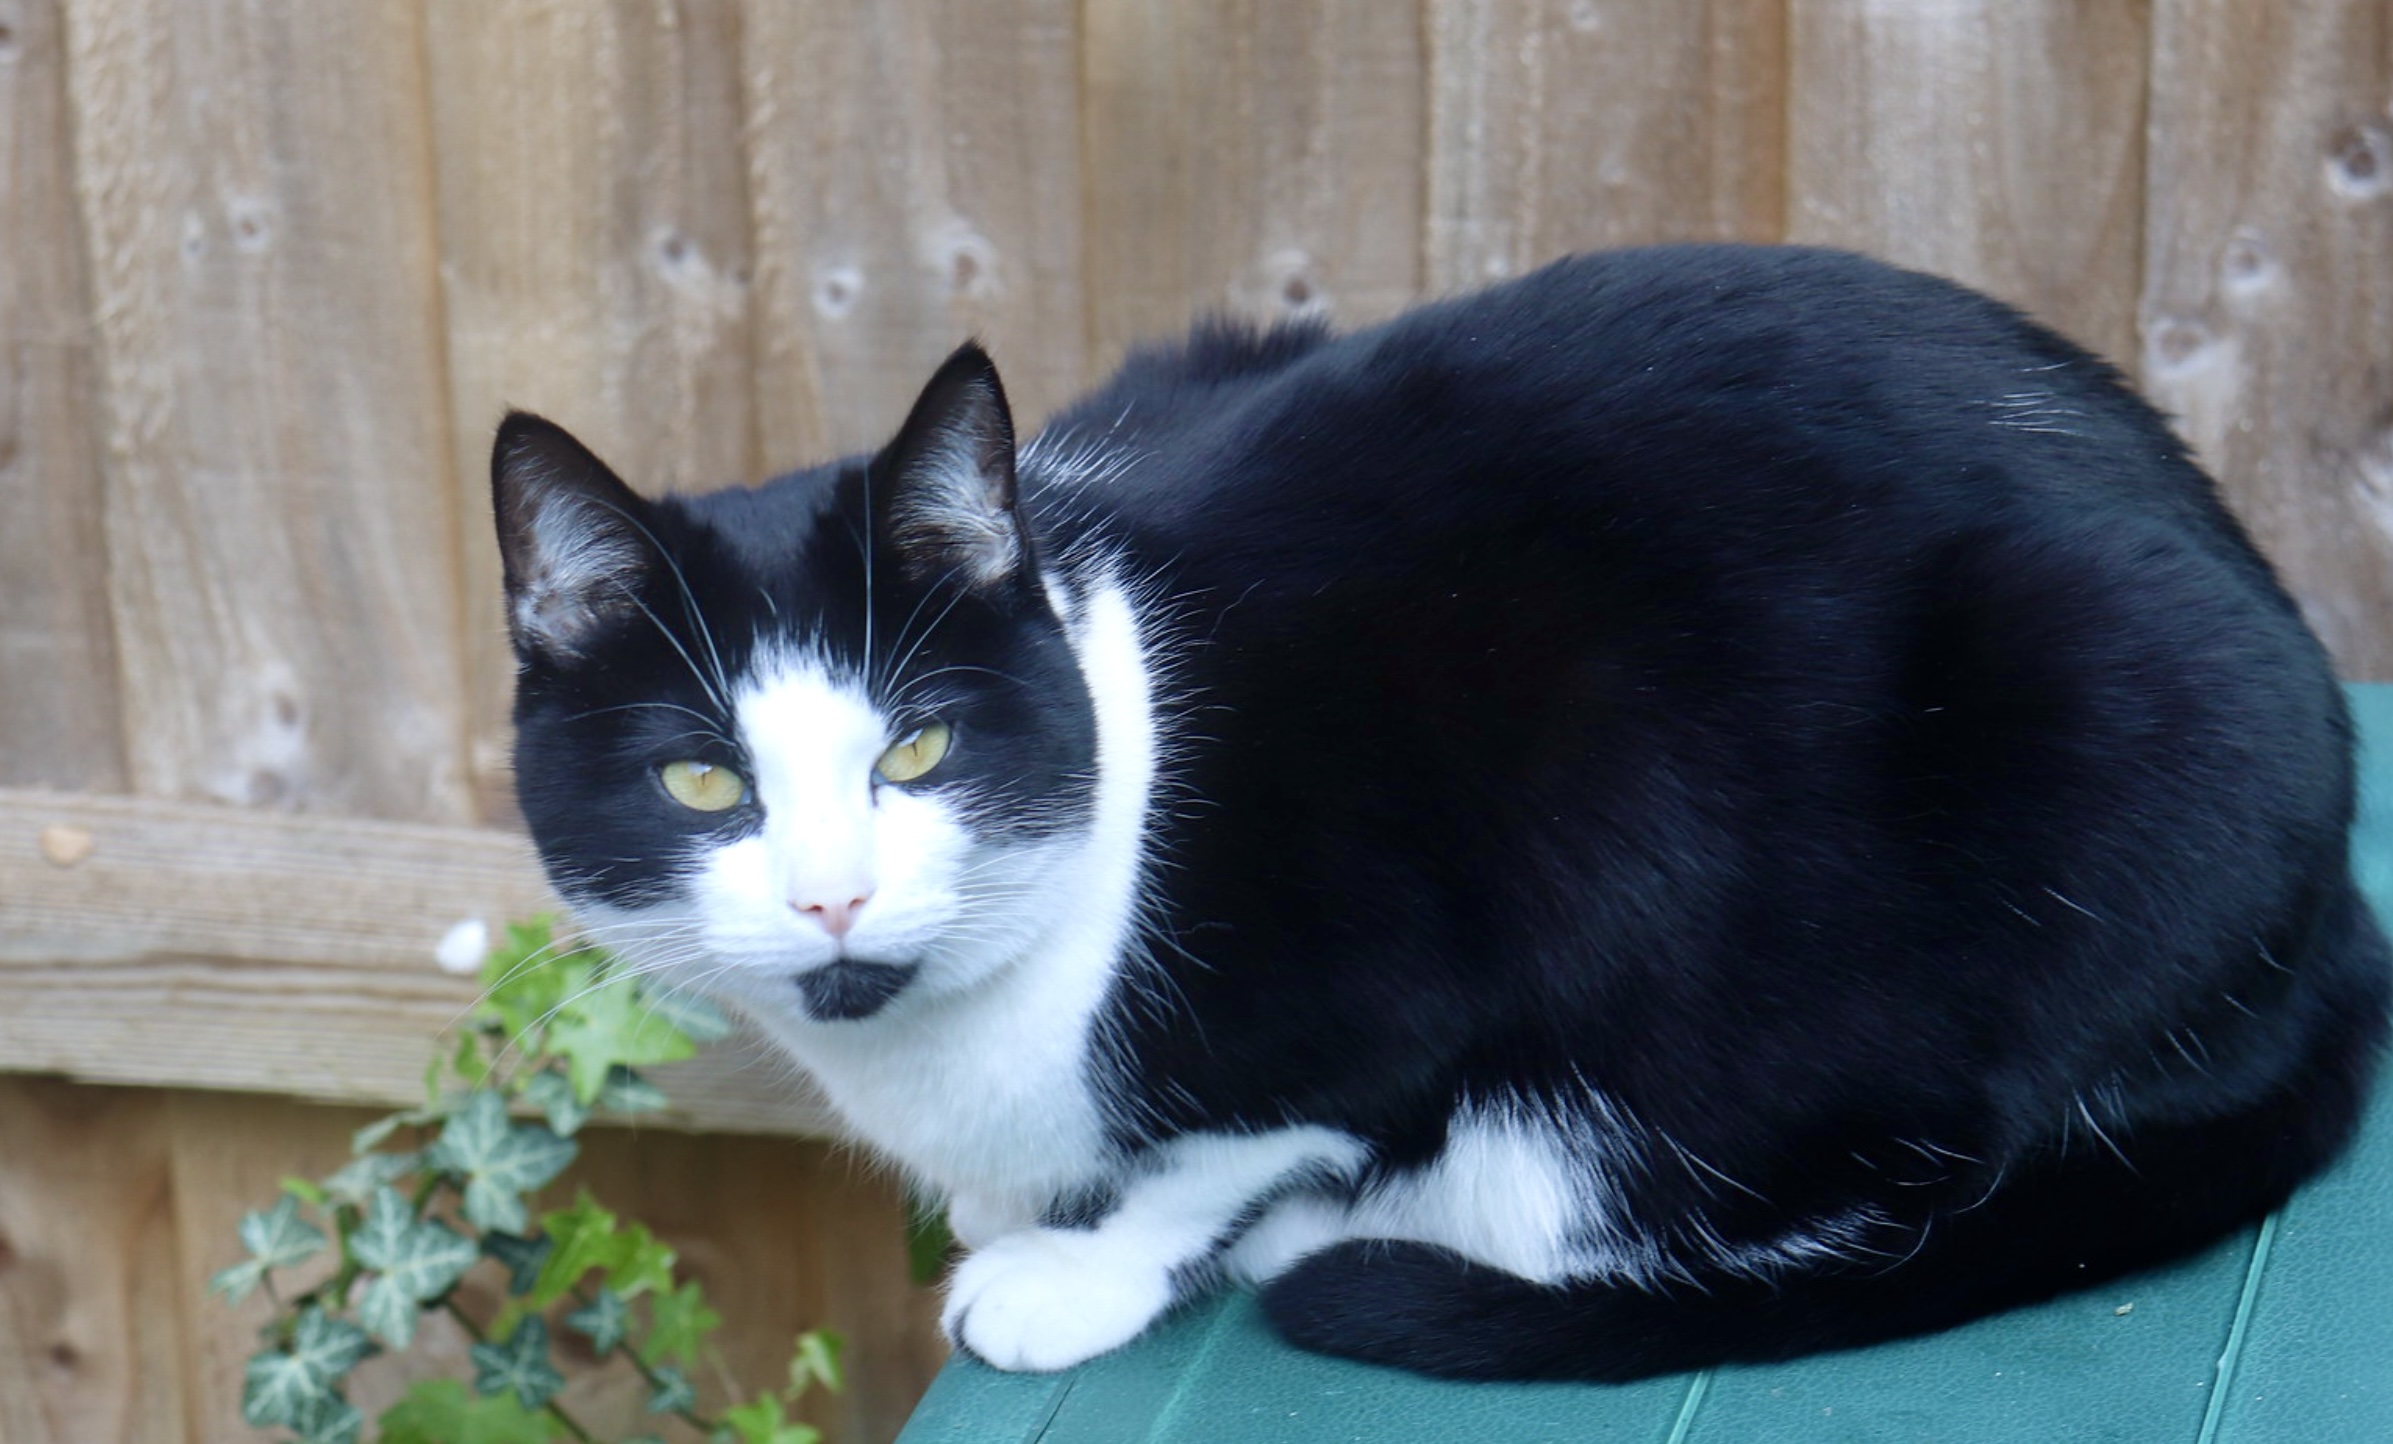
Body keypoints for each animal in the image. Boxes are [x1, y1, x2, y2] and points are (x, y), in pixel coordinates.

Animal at [490, 249, 2393, 1379]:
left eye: (918, 751)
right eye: (702, 778)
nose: (827, 899)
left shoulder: (1455, 911)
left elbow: (1252, 1143)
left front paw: (1084, 1268)